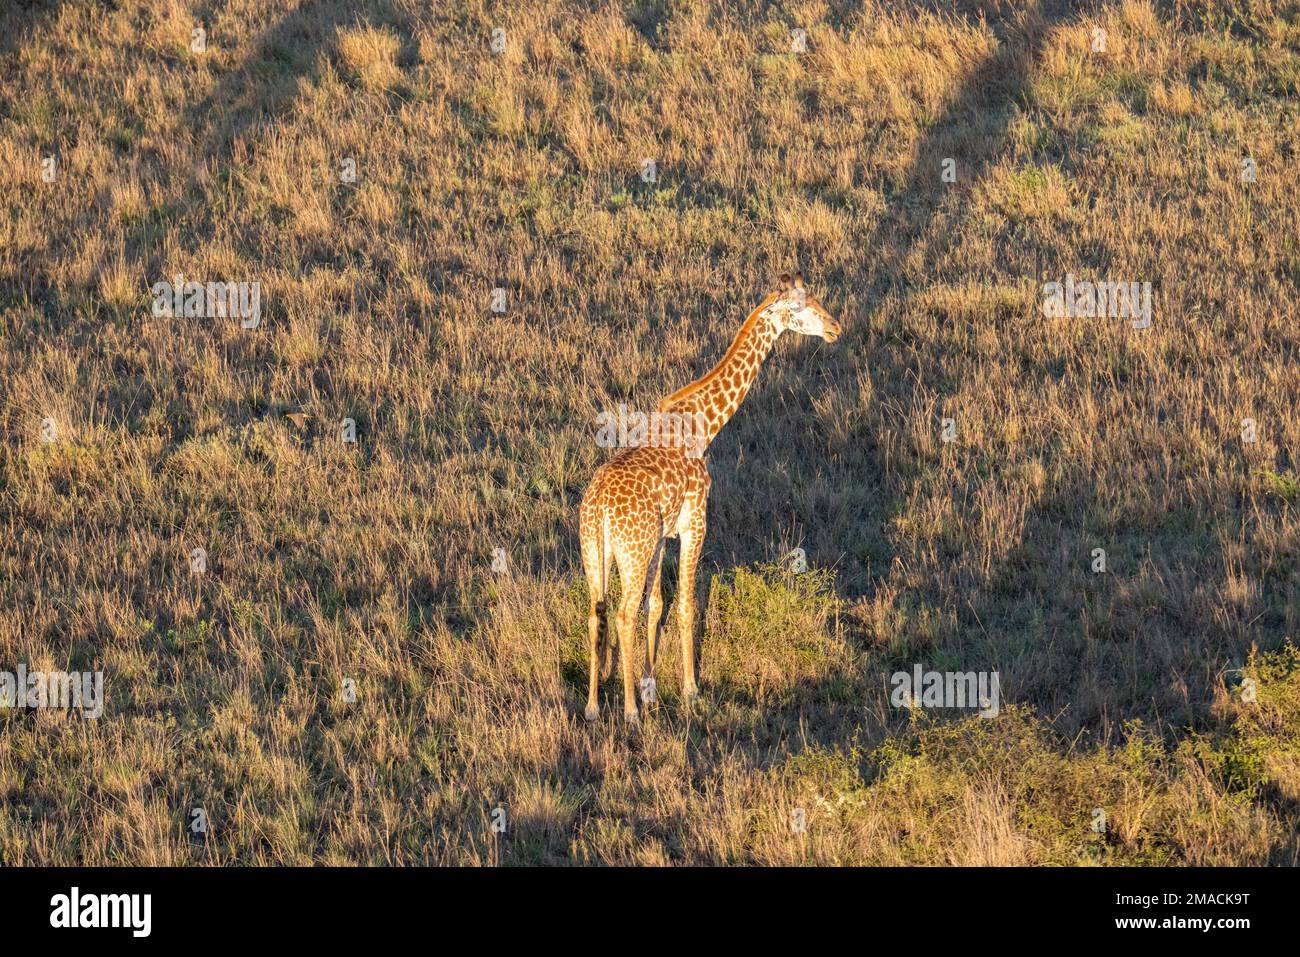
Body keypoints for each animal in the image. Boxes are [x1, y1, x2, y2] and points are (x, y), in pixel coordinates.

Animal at [579, 267, 842, 717]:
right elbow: (685, 606)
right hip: (629, 552)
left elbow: (656, 606)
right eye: (800, 307)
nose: (834, 328)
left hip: (596, 551)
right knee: (622, 614)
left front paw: (650, 686)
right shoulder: (694, 523)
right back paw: (628, 711)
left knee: (598, 612)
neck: (702, 425)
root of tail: (597, 506)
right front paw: (689, 690)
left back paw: (594, 706)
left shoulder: (660, 537)